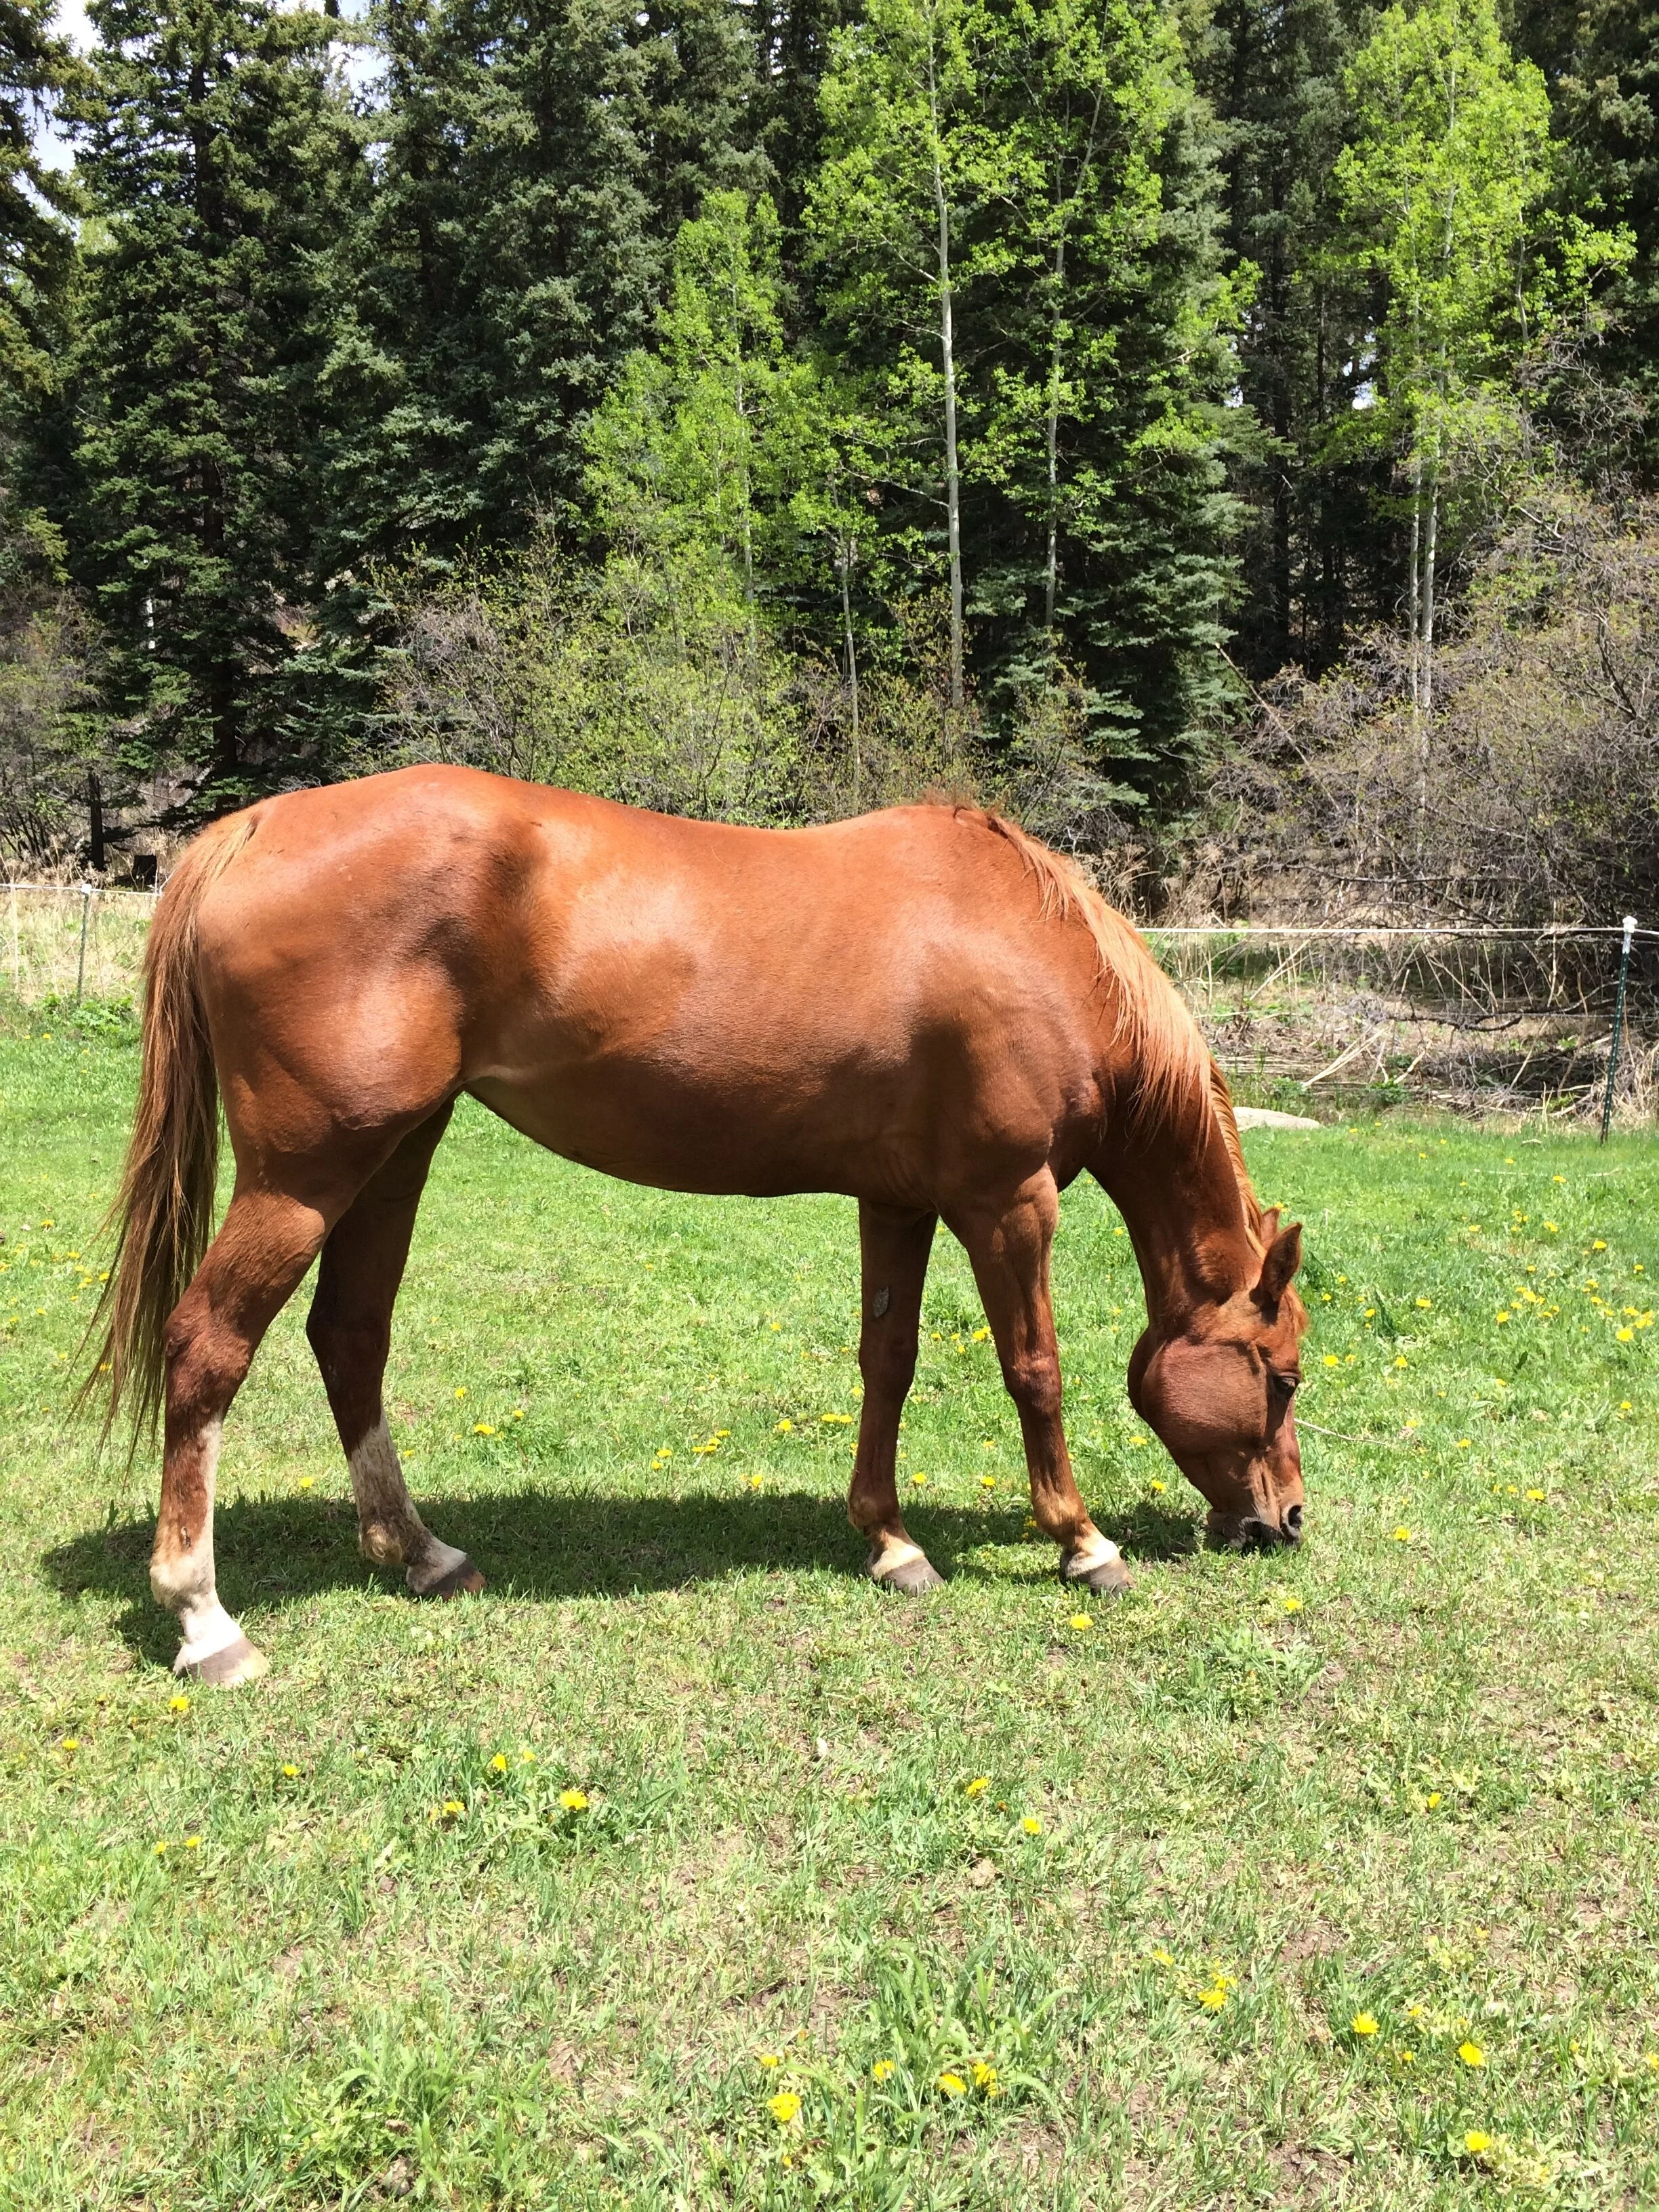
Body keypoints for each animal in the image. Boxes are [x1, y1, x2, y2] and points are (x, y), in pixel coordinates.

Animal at [87, 768, 1308, 1685]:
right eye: (1284, 1374)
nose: (1284, 1521)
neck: (1034, 944)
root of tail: (251, 830)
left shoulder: (900, 1200)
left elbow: (889, 1360)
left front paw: (890, 1541)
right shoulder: (1007, 1201)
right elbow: (1034, 1370)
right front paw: (1083, 1541)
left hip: (394, 1154)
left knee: (349, 1335)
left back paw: (420, 1551)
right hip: (306, 1175)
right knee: (207, 1347)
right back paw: (204, 1617)